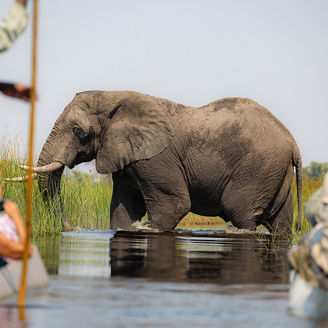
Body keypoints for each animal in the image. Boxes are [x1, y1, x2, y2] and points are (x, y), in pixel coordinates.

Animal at [19, 91, 302, 232]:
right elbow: (123, 207)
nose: (72, 228)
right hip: (275, 171)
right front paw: (130, 226)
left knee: (238, 209)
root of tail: (292, 142)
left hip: (258, 167)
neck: (115, 98)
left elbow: (175, 203)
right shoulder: (127, 155)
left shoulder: (154, 157)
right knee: (280, 223)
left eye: (78, 131)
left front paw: (146, 227)